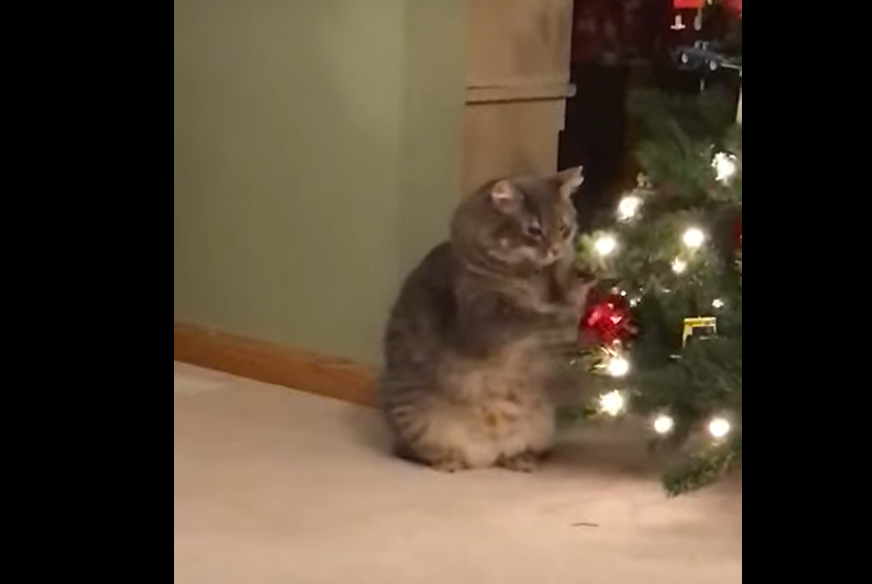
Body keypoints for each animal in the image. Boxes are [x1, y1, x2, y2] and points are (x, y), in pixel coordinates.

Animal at [376, 167, 592, 472]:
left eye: (564, 228)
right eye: (534, 230)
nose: (555, 250)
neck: (531, 276)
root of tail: (486, 455)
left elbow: (571, 293)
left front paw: (582, 278)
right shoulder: (484, 318)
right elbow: (529, 316)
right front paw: (558, 317)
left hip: (542, 427)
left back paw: (520, 459)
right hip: (416, 420)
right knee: (408, 450)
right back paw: (448, 461)